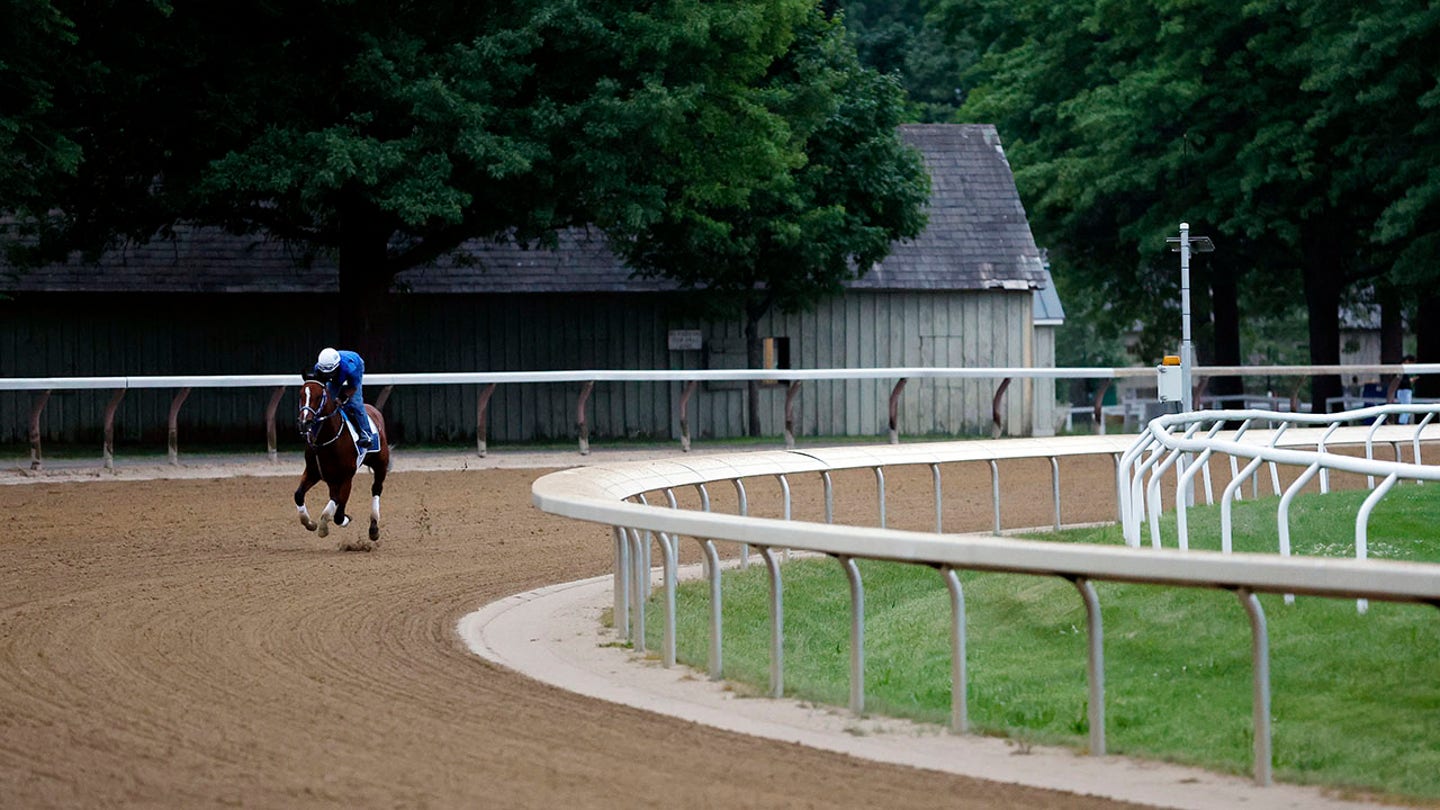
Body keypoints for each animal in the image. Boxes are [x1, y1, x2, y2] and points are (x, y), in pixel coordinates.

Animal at [292, 374, 388, 544]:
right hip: (331, 478)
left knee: (376, 489)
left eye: (319, 396)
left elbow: (338, 514)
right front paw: (310, 523)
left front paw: (340, 520)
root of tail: (374, 410)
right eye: (301, 394)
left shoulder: (346, 477)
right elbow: (298, 495)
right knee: (333, 495)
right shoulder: (313, 472)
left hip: (381, 463)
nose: (304, 422)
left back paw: (373, 528)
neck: (326, 439)